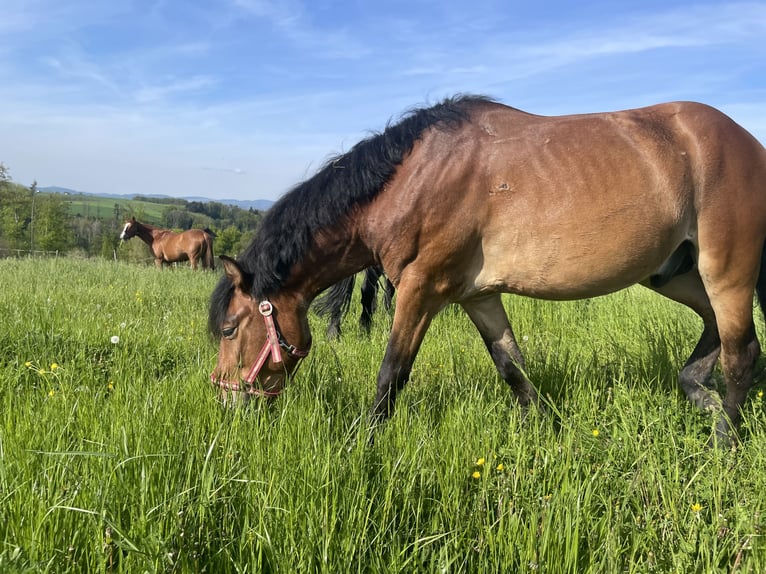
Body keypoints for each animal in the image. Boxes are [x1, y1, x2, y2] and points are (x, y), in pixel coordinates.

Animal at [207, 94, 766, 448]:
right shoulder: (477, 297)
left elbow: (391, 375)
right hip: (675, 274)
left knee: (741, 356)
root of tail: (748, 143)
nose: (227, 402)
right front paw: (551, 433)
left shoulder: (420, 290)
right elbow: (512, 367)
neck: (412, 178)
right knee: (718, 333)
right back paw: (700, 395)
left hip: (727, 272)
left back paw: (725, 443)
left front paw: (363, 446)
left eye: (230, 329)